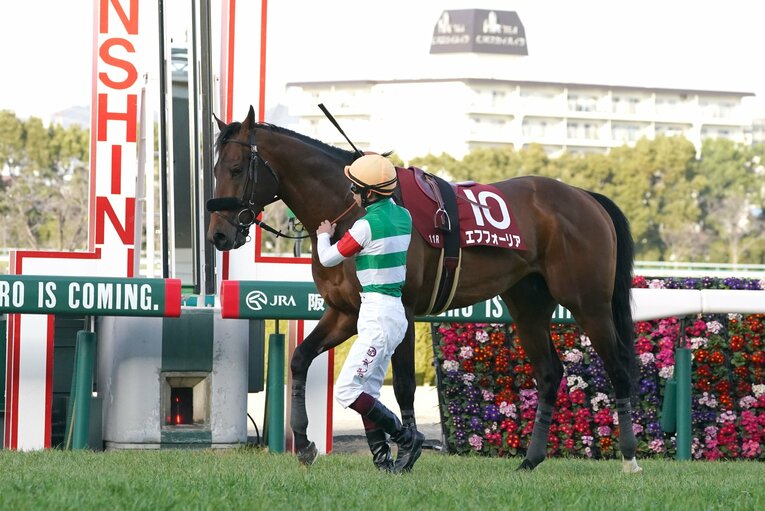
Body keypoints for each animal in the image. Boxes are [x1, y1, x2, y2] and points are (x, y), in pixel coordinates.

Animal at [206, 106, 642, 473]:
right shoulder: (345, 311)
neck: (354, 208)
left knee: (619, 370)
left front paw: (407, 449)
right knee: (550, 374)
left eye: (236, 167)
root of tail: (587, 198)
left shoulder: (403, 308)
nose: (219, 235)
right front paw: (310, 445)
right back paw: (529, 461)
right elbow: (302, 360)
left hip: (588, 303)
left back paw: (630, 459)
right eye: (214, 168)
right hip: (528, 305)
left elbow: (401, 385)